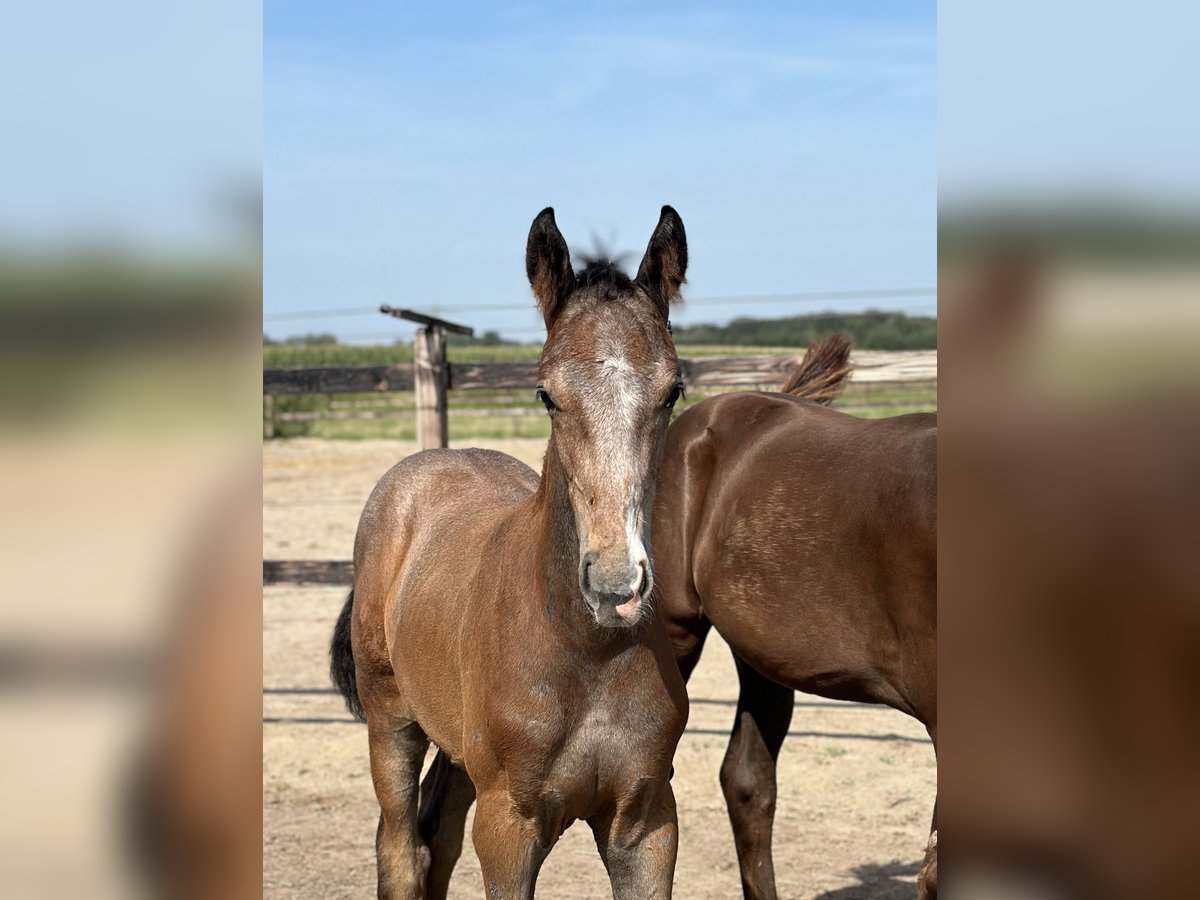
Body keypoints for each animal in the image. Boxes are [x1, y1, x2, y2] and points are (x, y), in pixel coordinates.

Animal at [333, 207, 696, 897]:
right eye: (546, 394)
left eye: (672, 392)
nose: (615, 586)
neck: (586, 654)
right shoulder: (508, 826)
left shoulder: (647, 823)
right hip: (390, 719)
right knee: (401, 847)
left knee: (437, 838)